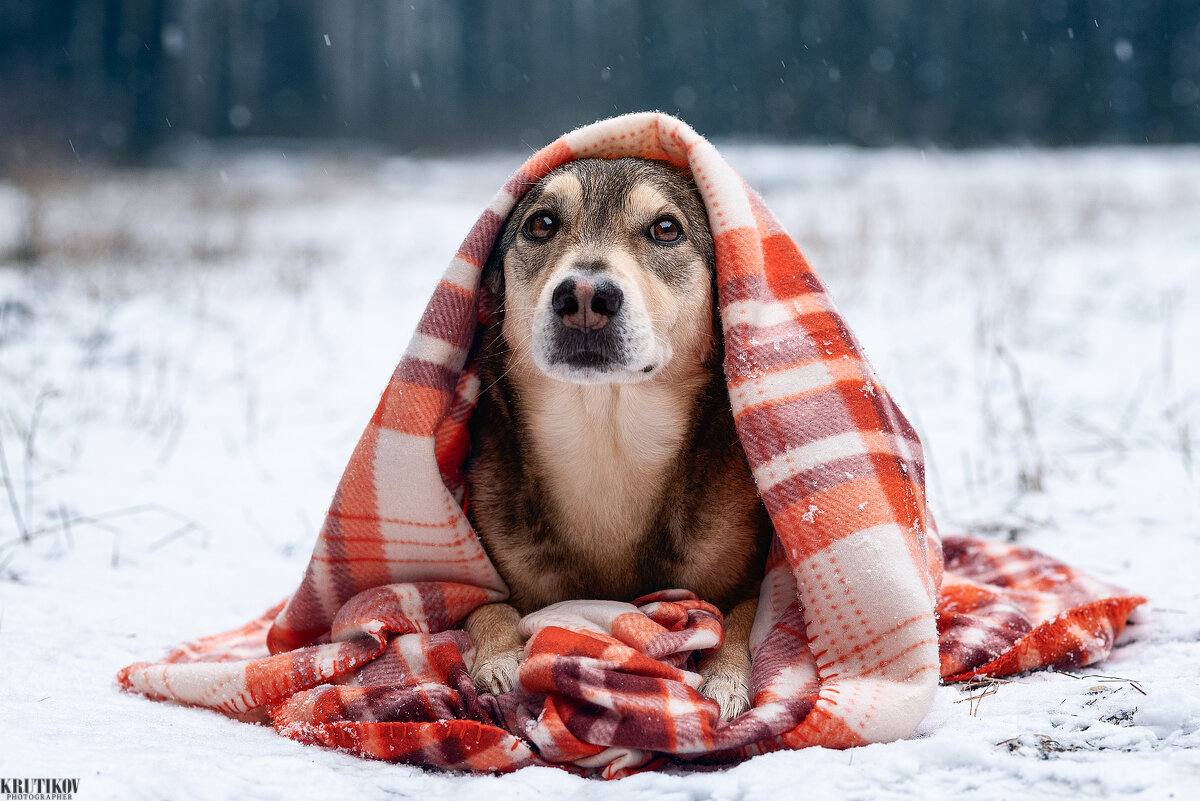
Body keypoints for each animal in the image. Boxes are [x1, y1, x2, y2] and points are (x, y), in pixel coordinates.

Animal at [463, 155, 772, 719]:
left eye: (666, 229)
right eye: (540, 224)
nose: (585, 295)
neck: (608, 445)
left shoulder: (756, 575)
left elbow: (742, 616)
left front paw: (725, 678)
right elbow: (488, 608)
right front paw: (499, 660)